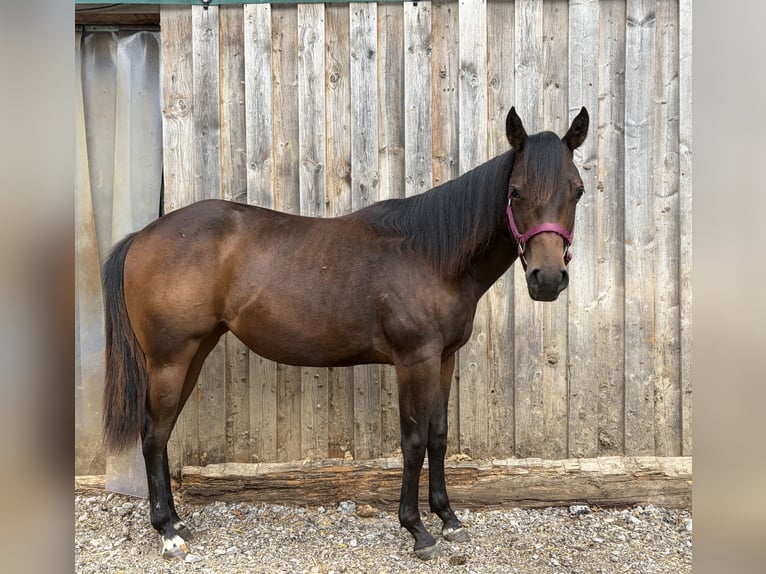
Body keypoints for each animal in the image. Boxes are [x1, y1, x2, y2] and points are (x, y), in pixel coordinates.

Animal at [101, 106, 589, 561]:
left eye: (578, 190)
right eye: (515, 191)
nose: (548, 279)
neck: (430, 253)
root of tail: (142, 236)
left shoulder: (444, 359)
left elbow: (438, 437)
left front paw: (449, 518)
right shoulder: (415, 361)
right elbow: (413, 442)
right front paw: (418, 530)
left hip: (194, 354)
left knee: (162, 434)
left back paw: (176, 521)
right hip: (170, 360)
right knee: (153, 435)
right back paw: (166, 532)